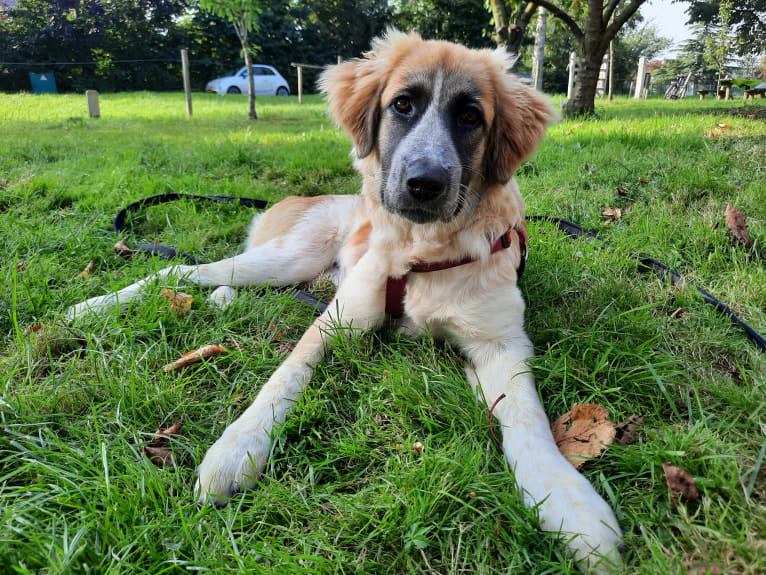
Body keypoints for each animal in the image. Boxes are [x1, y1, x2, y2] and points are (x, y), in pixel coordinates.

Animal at [69, 32, 624, 575]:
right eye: (402, 104)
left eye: (471, 116)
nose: (424, 184)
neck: (420, 253)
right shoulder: (334, 321)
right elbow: (281, 380)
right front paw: (237, 448)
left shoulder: (500, 344)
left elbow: (527, 420)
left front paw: (568, 502)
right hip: (287, 258)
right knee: (184, 270)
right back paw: (94, 307)